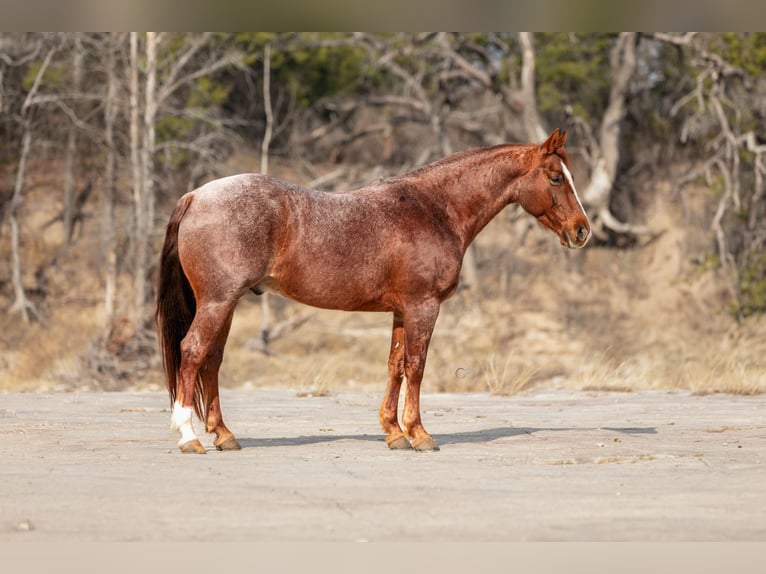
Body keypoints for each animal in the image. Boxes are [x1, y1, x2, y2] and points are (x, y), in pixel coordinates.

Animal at [153, 129, 592, 454]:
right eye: (556, 177)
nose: (582, 231)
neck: (434, 209)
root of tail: (195, 196)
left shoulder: (401, 310)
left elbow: (395, 365)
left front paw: (394, 433)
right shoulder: (423, 307)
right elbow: (416, 366)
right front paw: (420, 434)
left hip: (224, 304)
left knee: (211, 360)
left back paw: (224, 435)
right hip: (218, 301)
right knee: (192, 352)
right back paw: (189, 437)